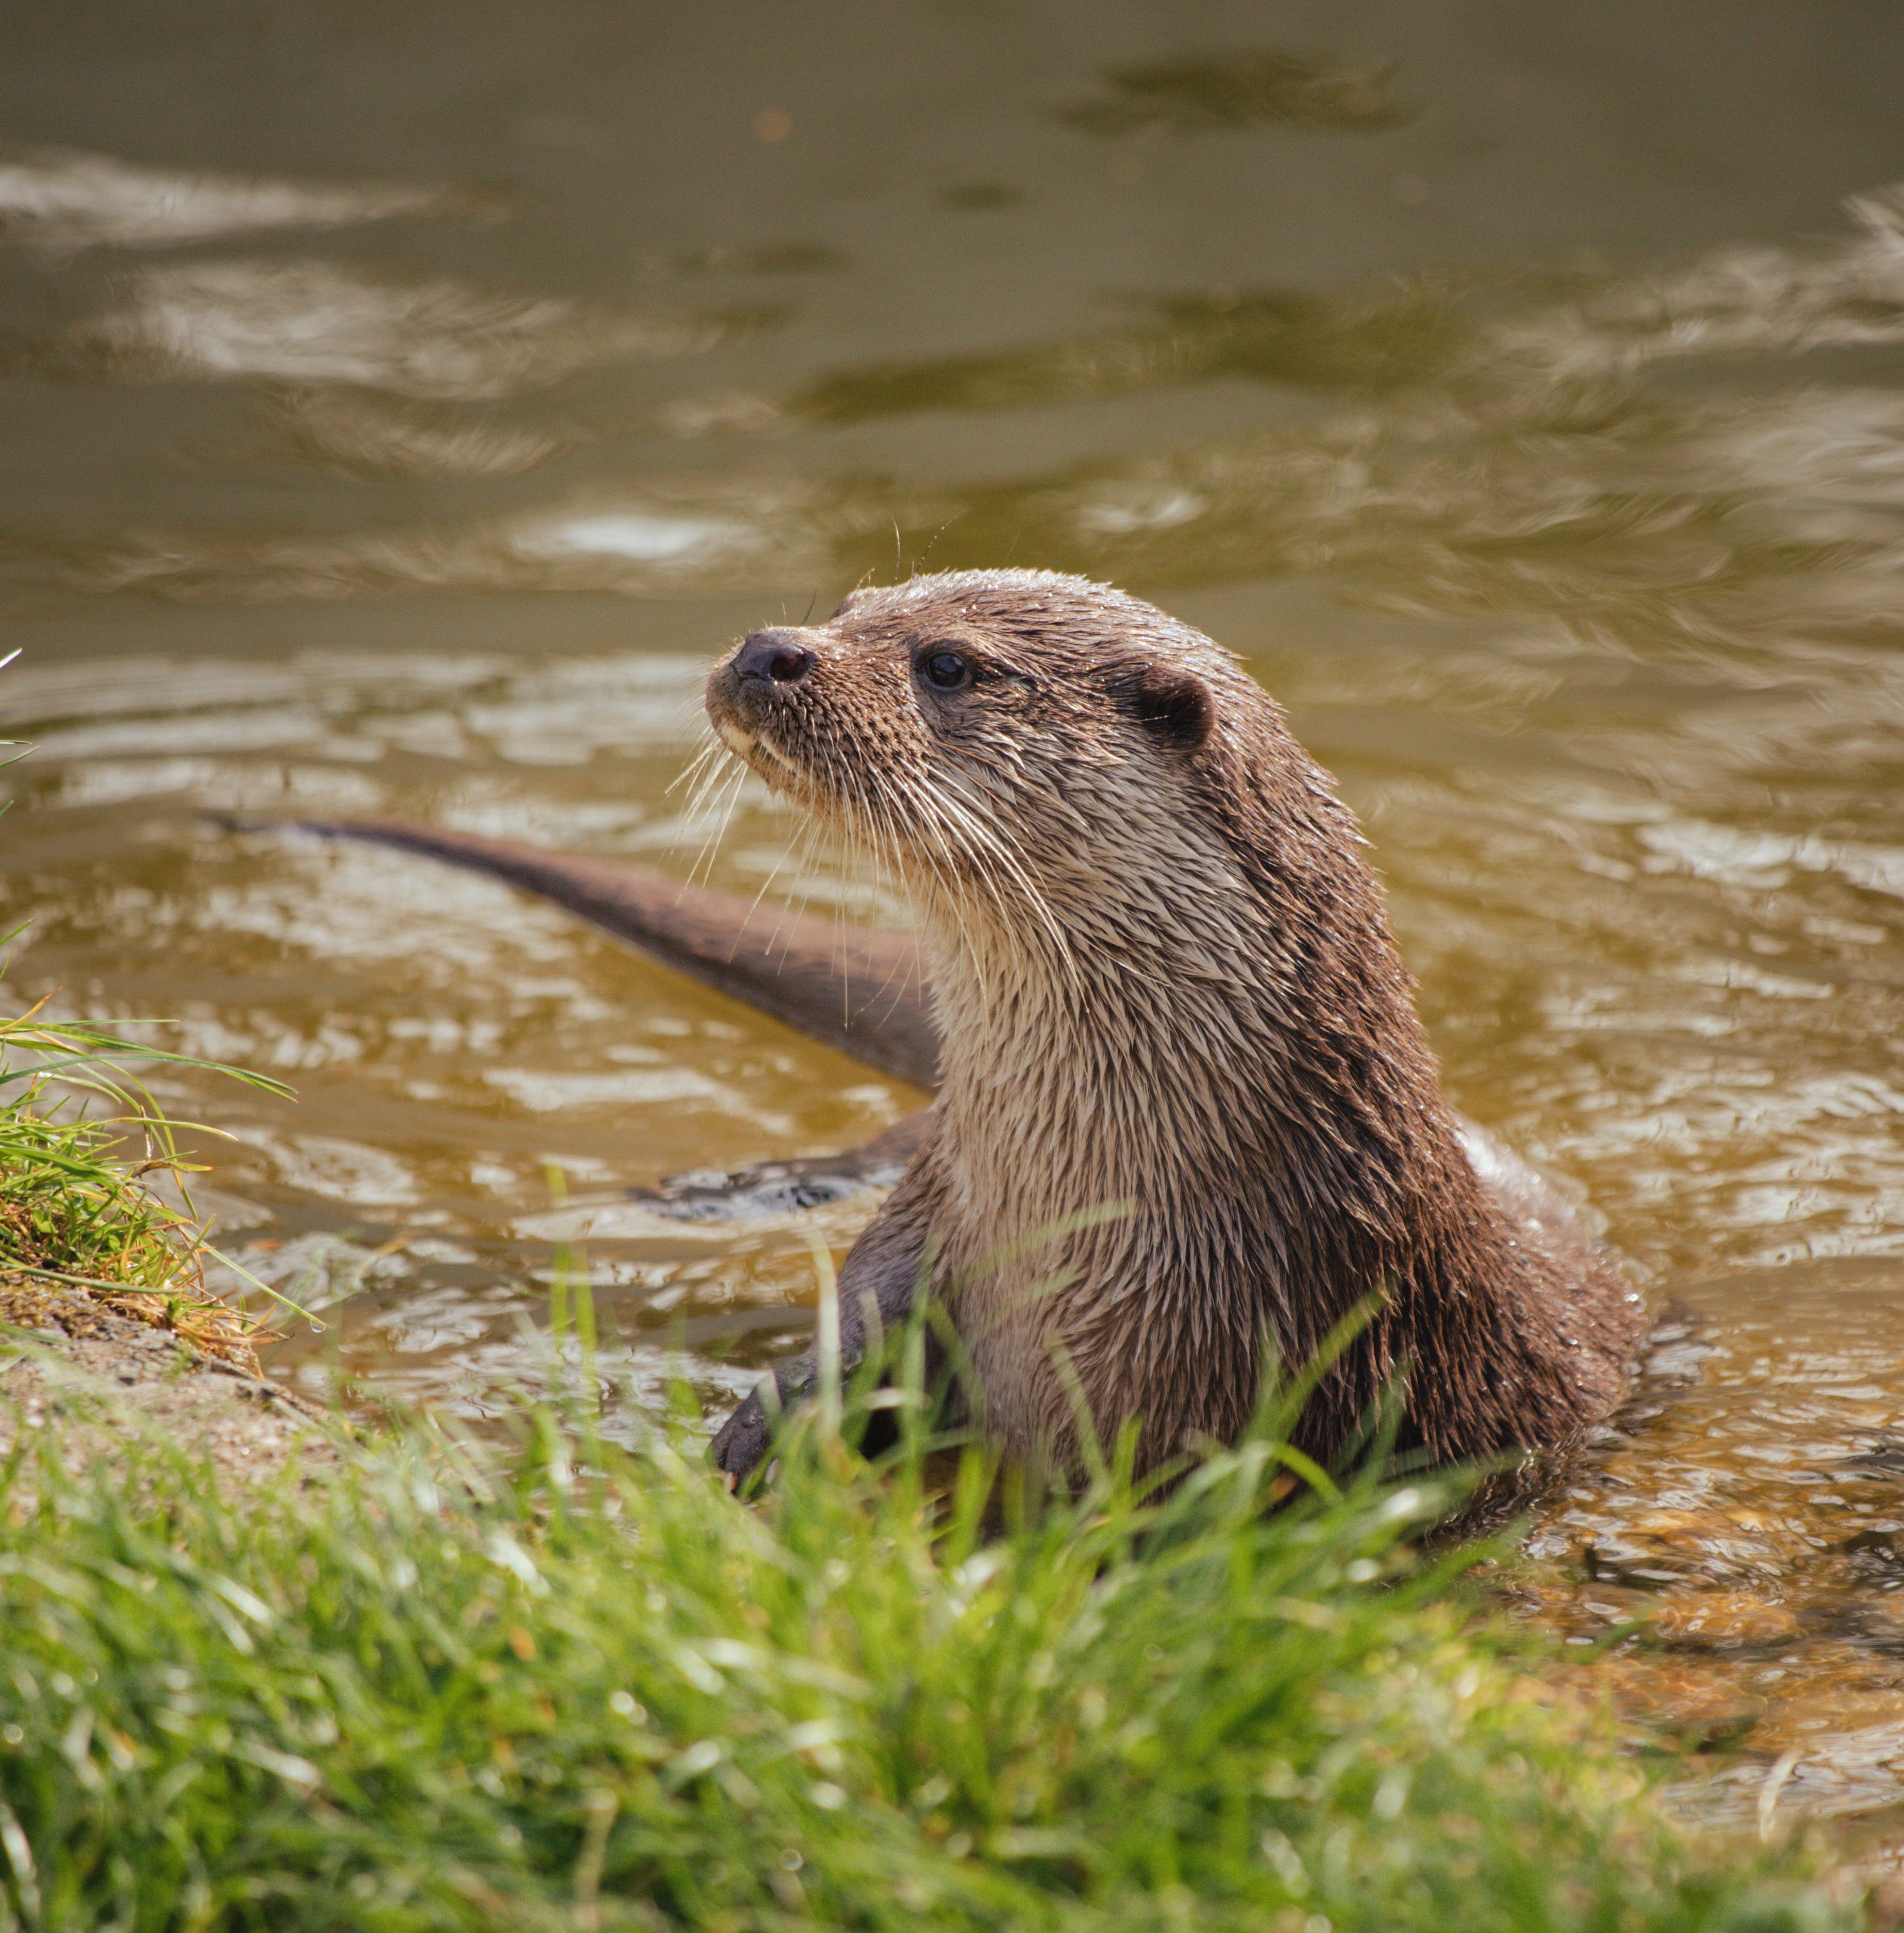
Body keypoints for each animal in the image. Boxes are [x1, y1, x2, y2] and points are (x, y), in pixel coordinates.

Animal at [231, 568, 1642, 1491]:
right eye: (854, 605)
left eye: (949, 663)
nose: (771, 645)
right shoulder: (937, 1203)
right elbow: (854, 1317)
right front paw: (752, 1438)